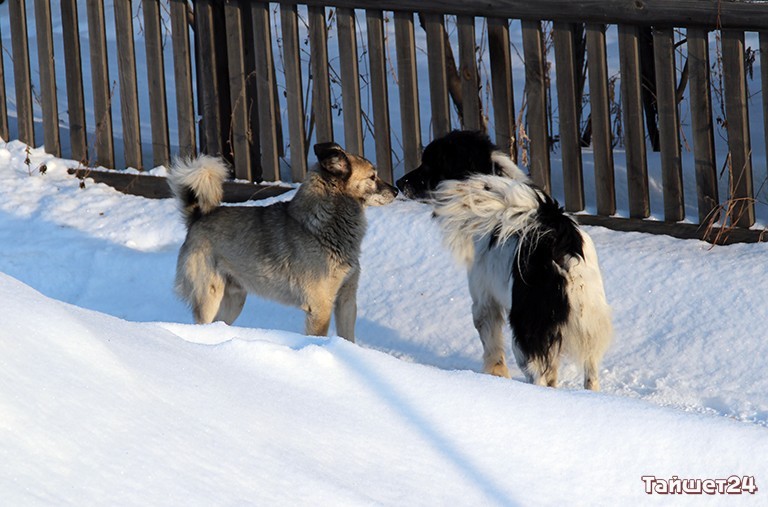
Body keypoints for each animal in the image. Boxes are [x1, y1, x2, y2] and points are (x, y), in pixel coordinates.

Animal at [168, 142, 398, 342]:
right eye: (372, 176)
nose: (396, 190)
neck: (322, 227)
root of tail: (197, 218)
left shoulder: (346, 301)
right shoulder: (320, 308)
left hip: (234, 299)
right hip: (209, 297)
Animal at [397, 130, 612, 390]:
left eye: (428, 164)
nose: (398, 183)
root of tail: (557, 235)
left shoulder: (484, 300)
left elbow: (492, 349)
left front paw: (495, 377)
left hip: (525, 328)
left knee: (537, 375)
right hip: (589, 319)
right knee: (590, 374)